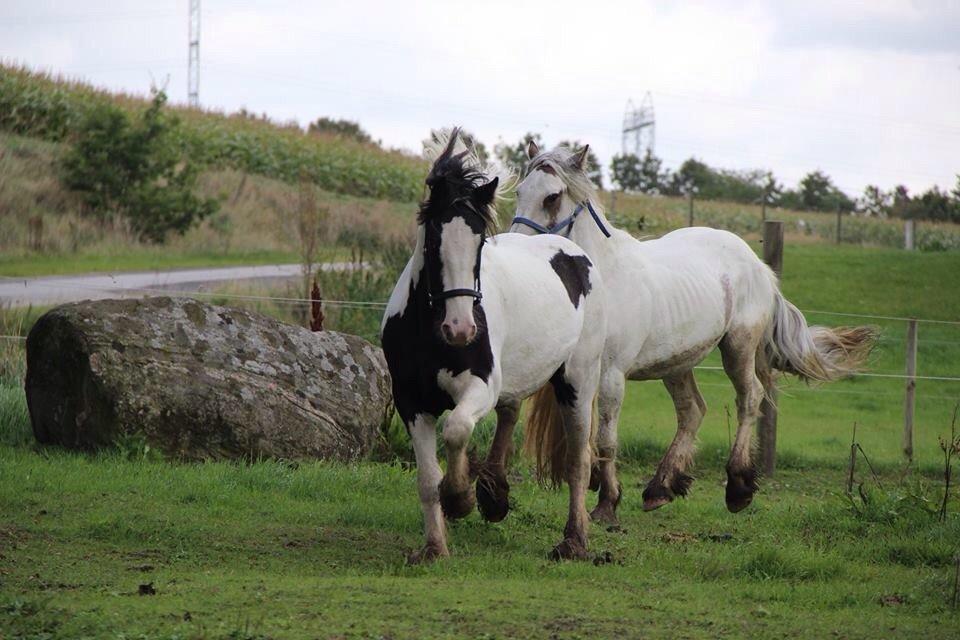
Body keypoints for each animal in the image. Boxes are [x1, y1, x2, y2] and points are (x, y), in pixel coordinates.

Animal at [378, 132, 604, 564]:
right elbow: (427, 478)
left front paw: (459, 498)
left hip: (578, 382)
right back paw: (495, 494)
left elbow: (456, 429)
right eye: (432, 239)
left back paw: (573, 540)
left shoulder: (479, 386)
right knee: (510, 412)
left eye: (480, 241)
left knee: (578, 461)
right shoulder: (411, 402)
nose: (461, 329)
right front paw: (435, 546)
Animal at [510, 140, 876, 520]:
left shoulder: (611, 374)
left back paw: (738, 487)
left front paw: (607, 503)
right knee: (693, 411)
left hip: (737, 350)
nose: (516, 249)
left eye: (552, 197)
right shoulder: (572, 374)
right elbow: (584, 438)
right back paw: (660, 488)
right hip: (677, 364)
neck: (600, 280)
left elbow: (606, 438)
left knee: (750, 397)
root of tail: (758, 265)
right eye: (519, 191)